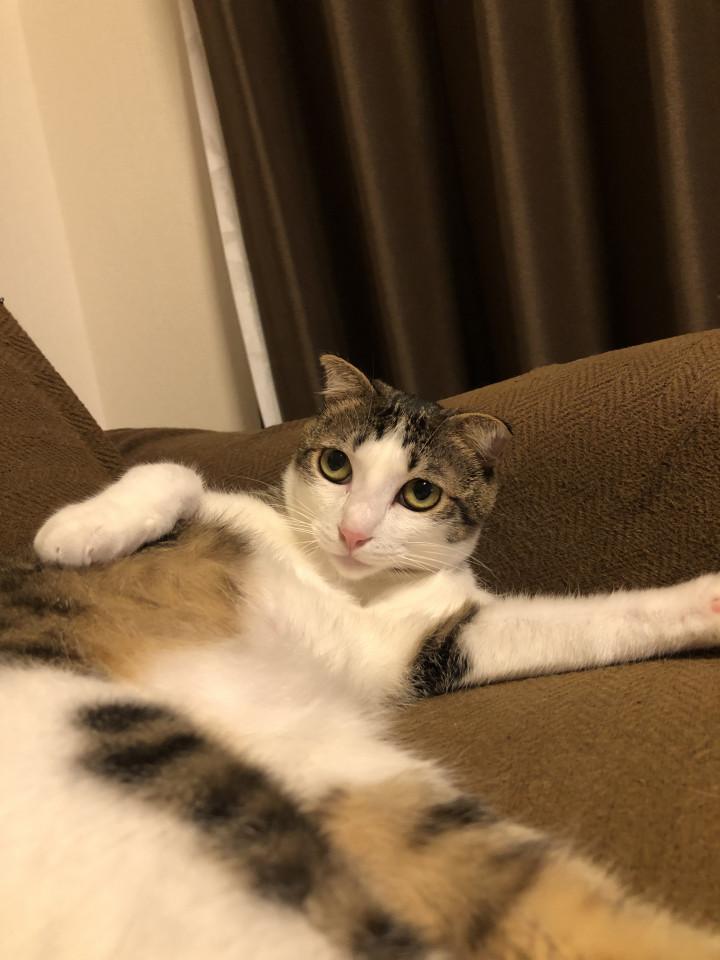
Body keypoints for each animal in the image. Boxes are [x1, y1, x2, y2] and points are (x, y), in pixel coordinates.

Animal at [1, 354, 718, 959]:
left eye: (420, 494)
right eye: (336, 466)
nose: (352, 532)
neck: (341, 585)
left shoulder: (431, 636)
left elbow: (591, 620)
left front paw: (708, 603)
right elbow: (173, 471)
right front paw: (78, 531)